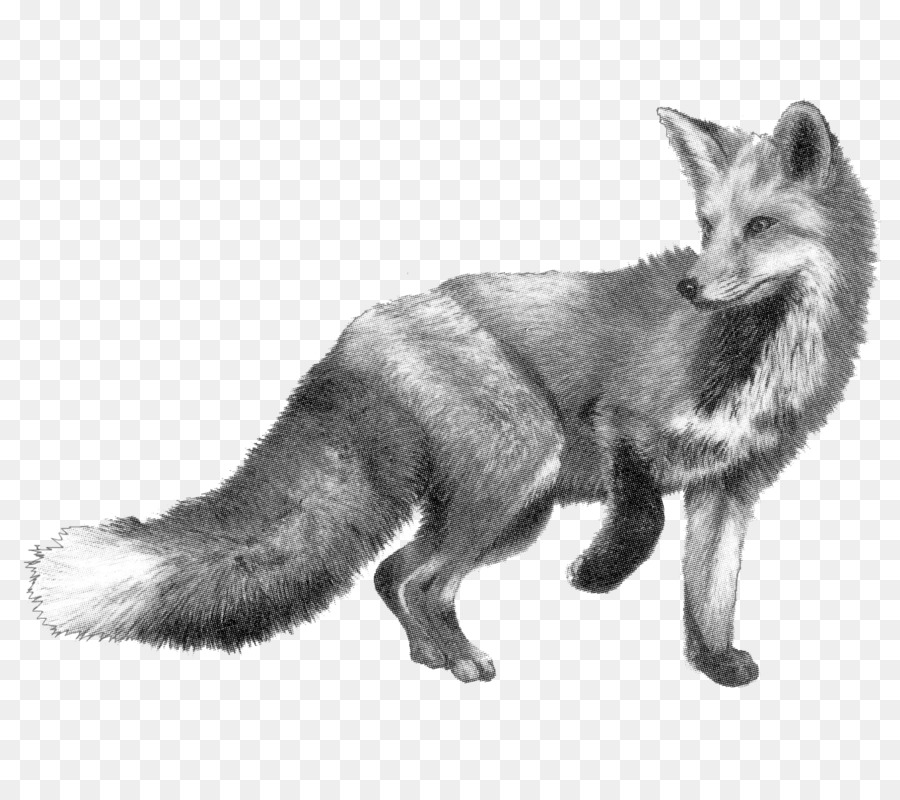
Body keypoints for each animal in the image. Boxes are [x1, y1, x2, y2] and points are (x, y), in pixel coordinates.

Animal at [28, 102, 874, 687]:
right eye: (706, 226)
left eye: (759, 226)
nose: (691, 288)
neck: (759, 359)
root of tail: (359, 333)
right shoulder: (620, 423)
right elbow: (645, 518)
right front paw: (599, 572)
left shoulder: (733, 485)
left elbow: (711, 590)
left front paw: (714, 662)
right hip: (523, 465)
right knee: (426, 581)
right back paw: (463, 659)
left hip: (511, 510)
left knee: (394, 573)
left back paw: (432, 657)